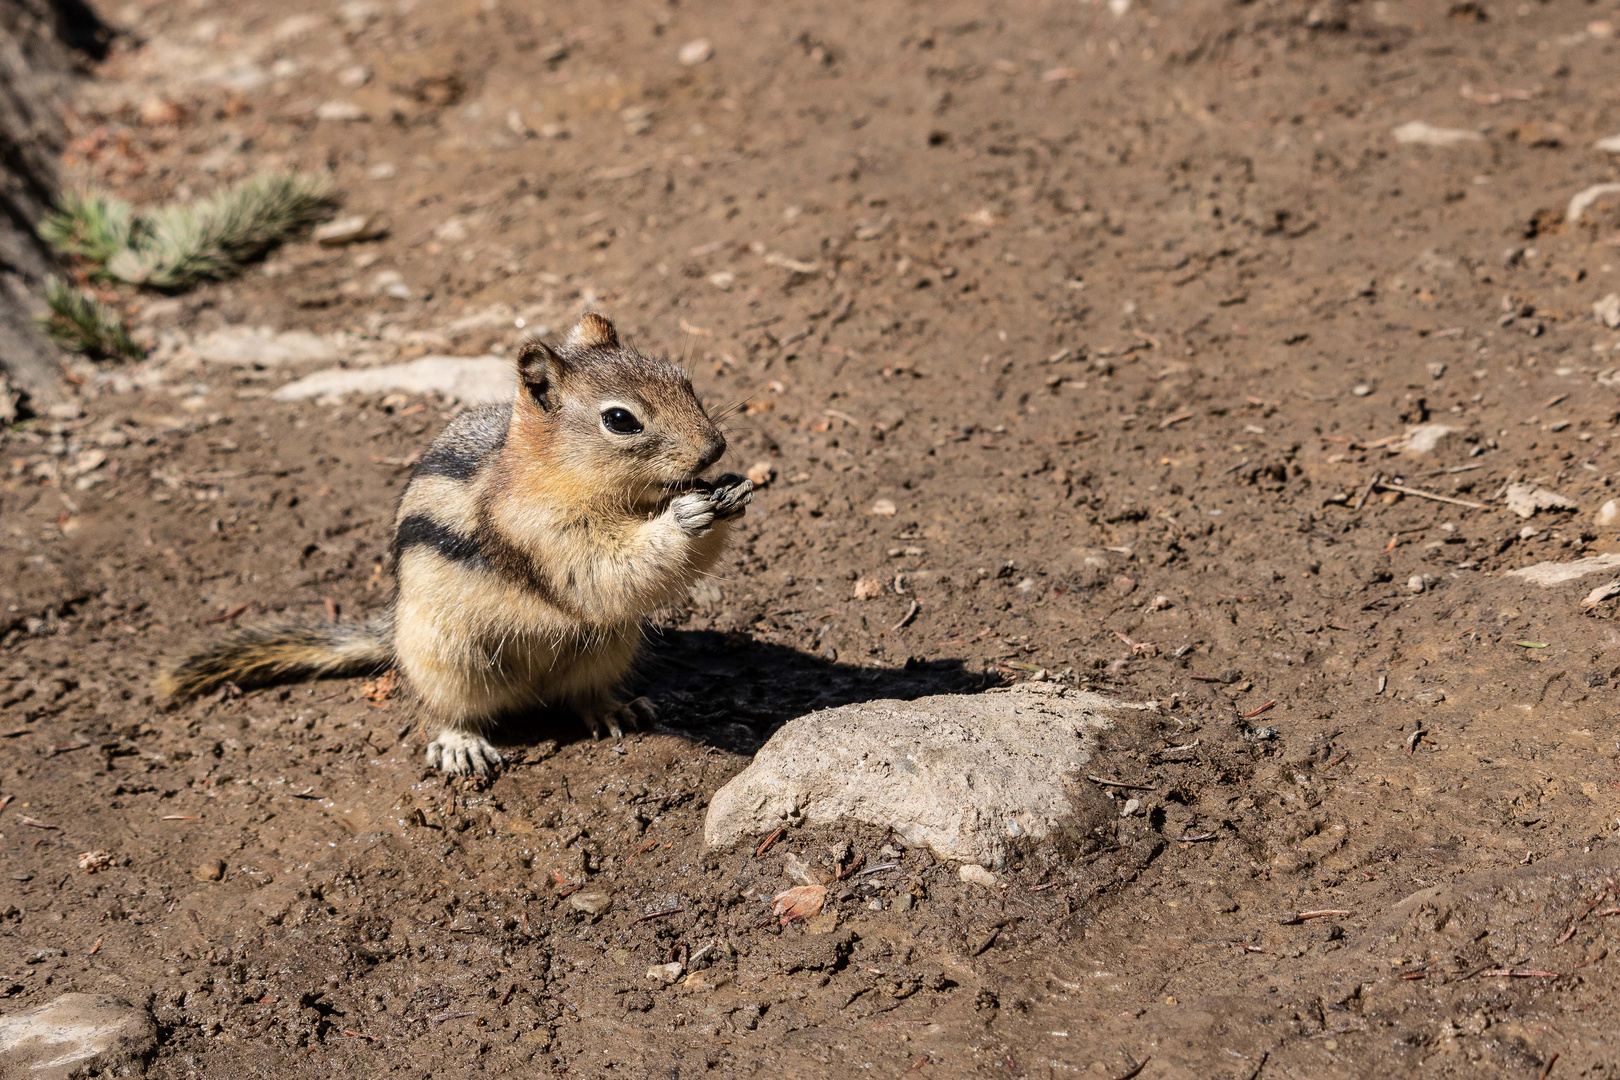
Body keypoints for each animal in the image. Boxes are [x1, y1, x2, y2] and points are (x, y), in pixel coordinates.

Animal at [157, 312, 751, 777]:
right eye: (620, 419)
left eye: (683, 379)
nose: (714, 448)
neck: (556, 475)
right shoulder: (538, 532)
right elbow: (601, 572)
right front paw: (686, 516)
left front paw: (733, 490)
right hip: (446, 659)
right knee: (443, 711)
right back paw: (460, 744)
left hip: (608, 647)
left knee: (582, 693)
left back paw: (614, 708)